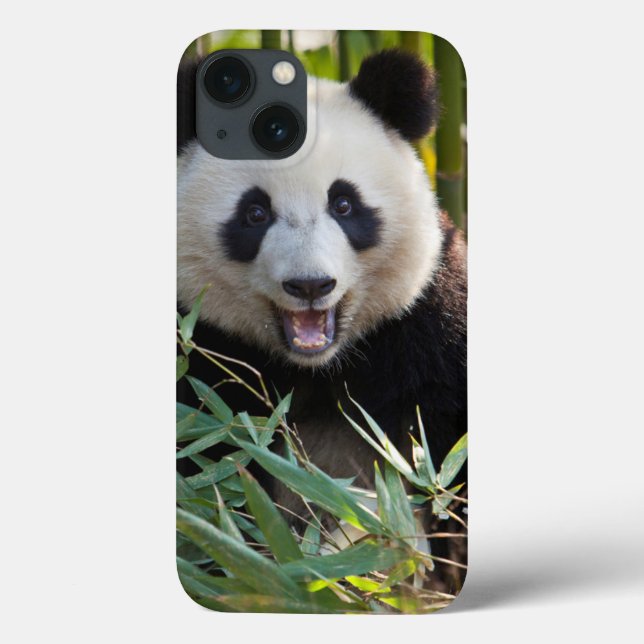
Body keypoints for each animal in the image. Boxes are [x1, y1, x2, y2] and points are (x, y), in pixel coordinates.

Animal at [177, 50, 467, 535]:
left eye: (344, 203)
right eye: (255, 213)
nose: (310, 284)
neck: (317, 368)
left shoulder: (428, 326)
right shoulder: (201, 357)